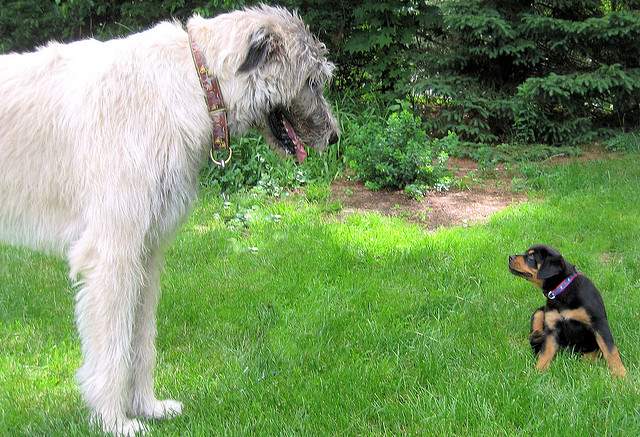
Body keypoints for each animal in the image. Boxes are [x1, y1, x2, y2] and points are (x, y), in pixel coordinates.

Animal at [0, 5, 340, 434]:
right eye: (312, 80)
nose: (335, 137)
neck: (194, 83)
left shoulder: (147, 252)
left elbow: (142, 337)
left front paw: (147, 406)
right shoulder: (113, 255)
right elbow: (115, 343)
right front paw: (114, 419)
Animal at [510, 244, 624, 376]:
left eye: (531, 256)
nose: (510, 257)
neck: (561, 291)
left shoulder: (598, 323)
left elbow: (610, 350)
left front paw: (621, 374)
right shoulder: (552, 327)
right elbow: (546, 352)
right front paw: (538, 371)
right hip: (540, 312)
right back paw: (537, 335)